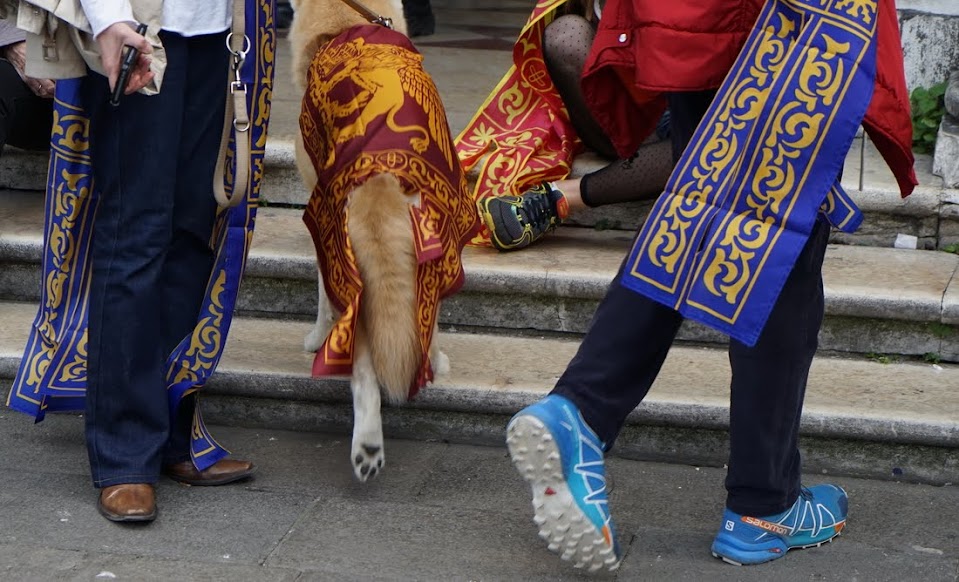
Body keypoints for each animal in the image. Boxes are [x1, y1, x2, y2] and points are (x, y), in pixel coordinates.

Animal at [286, 0, 478, 484]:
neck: (347, 19)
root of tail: (378, 180)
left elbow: (320, 295)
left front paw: (315, 338)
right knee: (412, 332)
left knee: (364, 367)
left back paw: (369, 443)